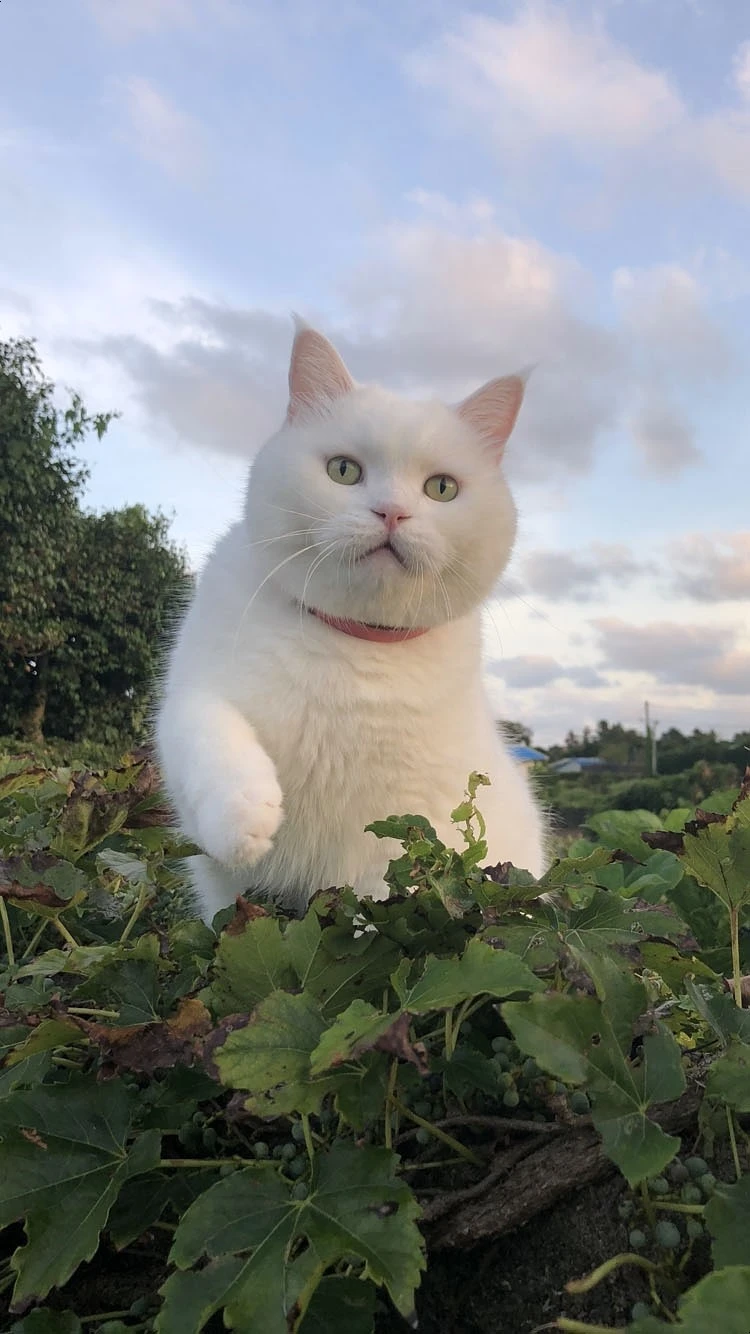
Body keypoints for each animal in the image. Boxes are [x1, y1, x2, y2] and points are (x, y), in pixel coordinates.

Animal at [156, 321, 547, 923]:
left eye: (441, 488)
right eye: (344, 470)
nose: (391, 512)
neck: (353, 647)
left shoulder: (405, 820)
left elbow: (381, 892)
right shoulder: (193, 695)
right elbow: (212, 738)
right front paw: (245, 821)